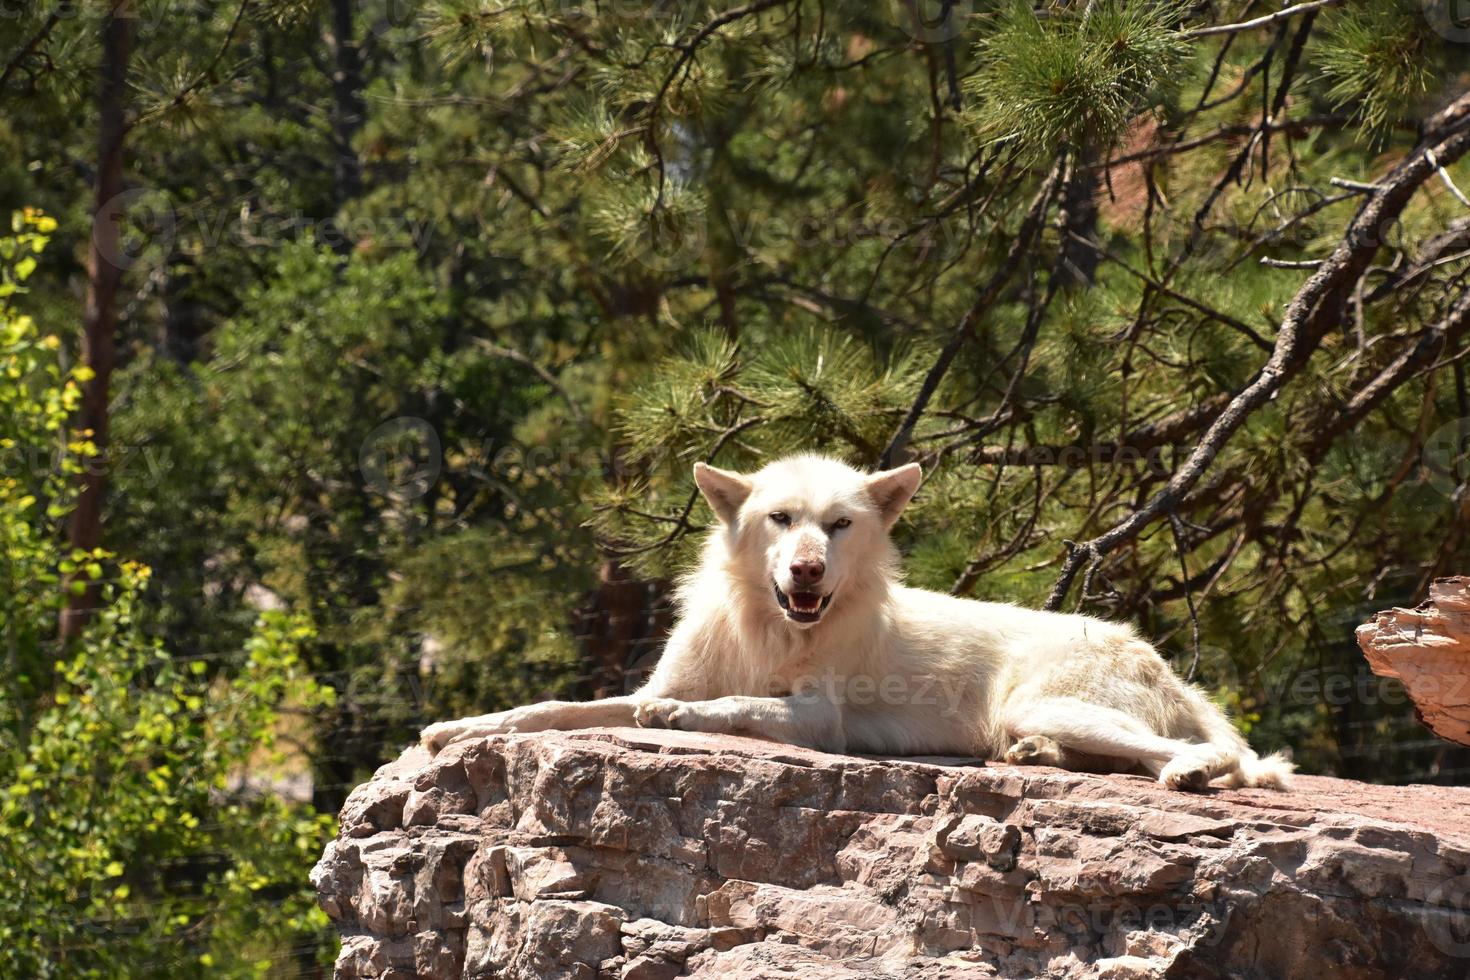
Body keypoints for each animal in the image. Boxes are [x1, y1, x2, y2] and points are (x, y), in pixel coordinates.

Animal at [420, 455, 1293, 793]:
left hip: (1044, 700)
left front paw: (675, 717)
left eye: (839, 526)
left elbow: (731, 707)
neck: (770, 628)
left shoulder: (819, 718)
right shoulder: (636, 684)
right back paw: (1037, 758)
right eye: (781, 520)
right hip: (1040, 715)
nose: (807, 571)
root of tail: (1152, 654)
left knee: (1211, 756)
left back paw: (1191, 772)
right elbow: (547, 709)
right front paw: (456, 729)